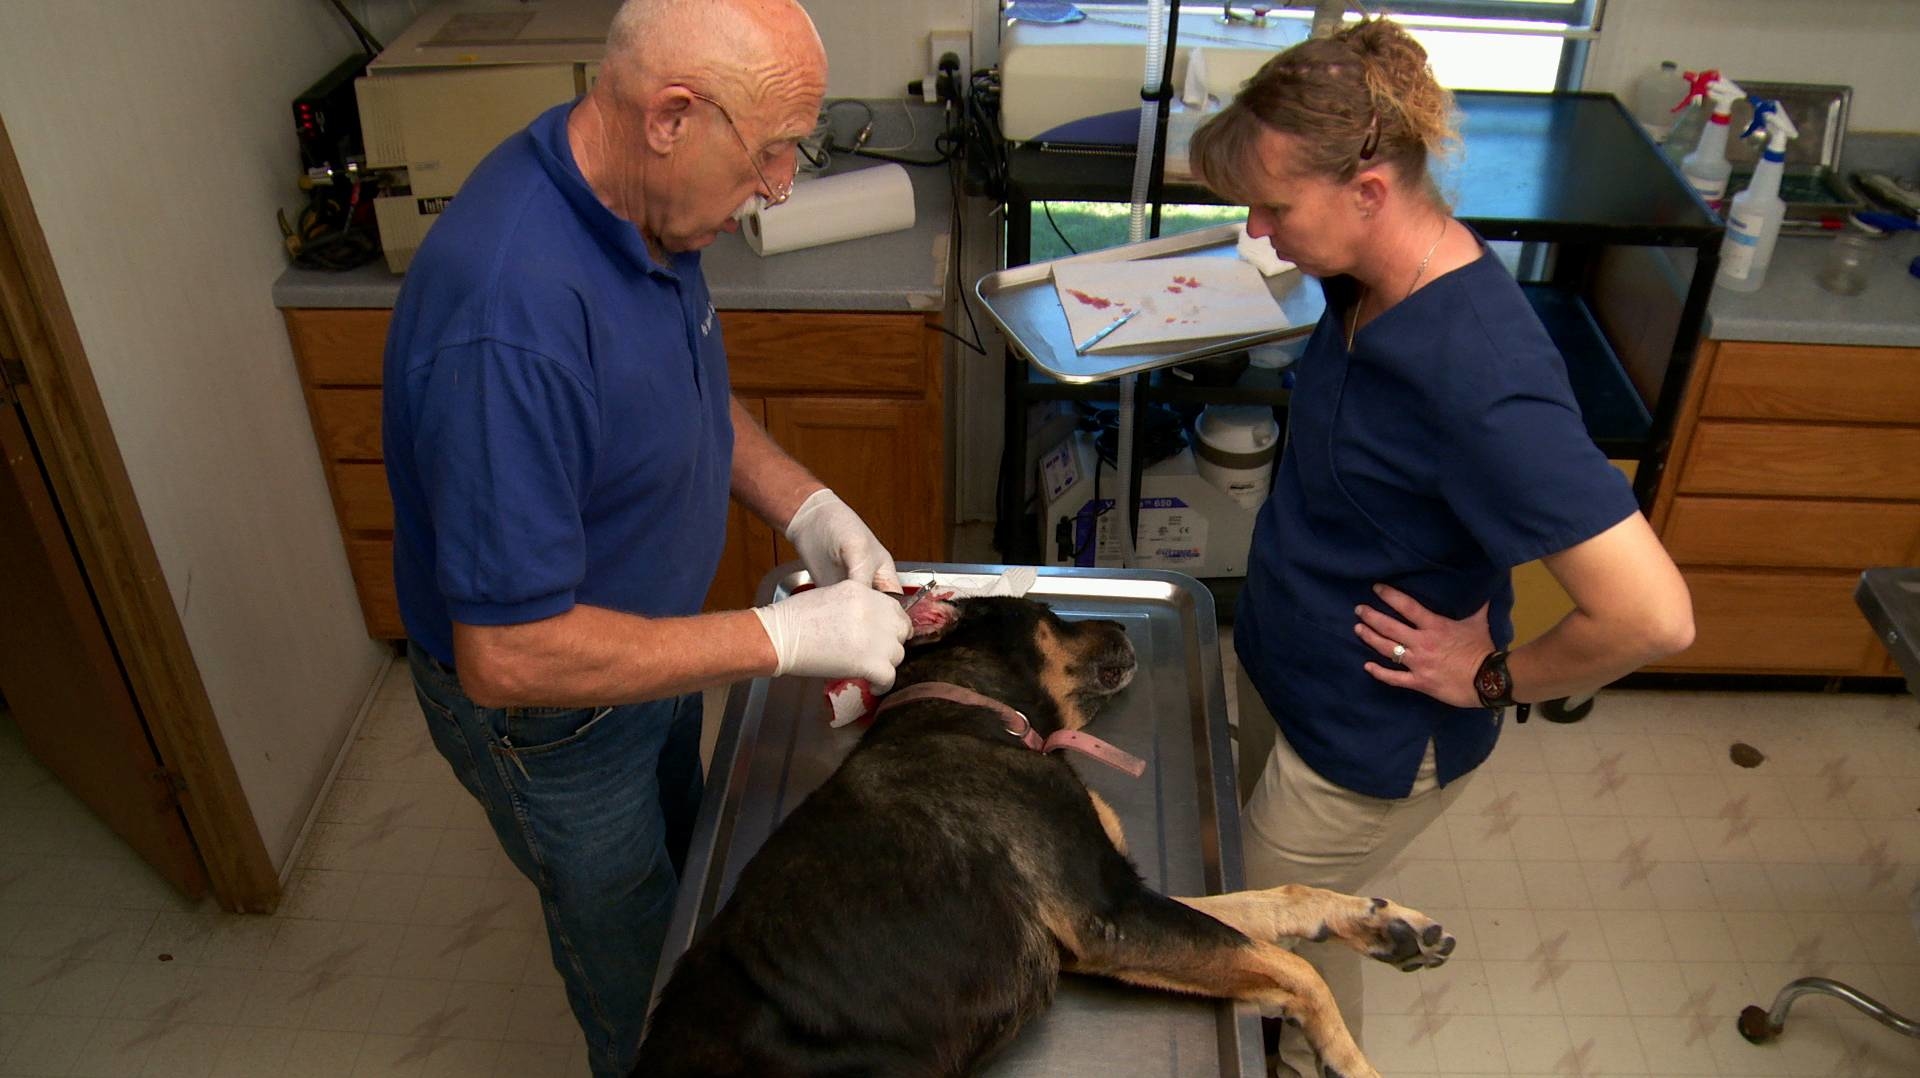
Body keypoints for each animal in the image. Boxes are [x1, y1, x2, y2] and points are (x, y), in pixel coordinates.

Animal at [636, 594, 1453, 1077]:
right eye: (1048, 613)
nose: (1121, 623)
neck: (976, 709)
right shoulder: (1109, 917)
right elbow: (1297, 970)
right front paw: (1348, 1060)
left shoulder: (1116, 899)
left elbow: (1276, 905)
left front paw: (1381, 924)